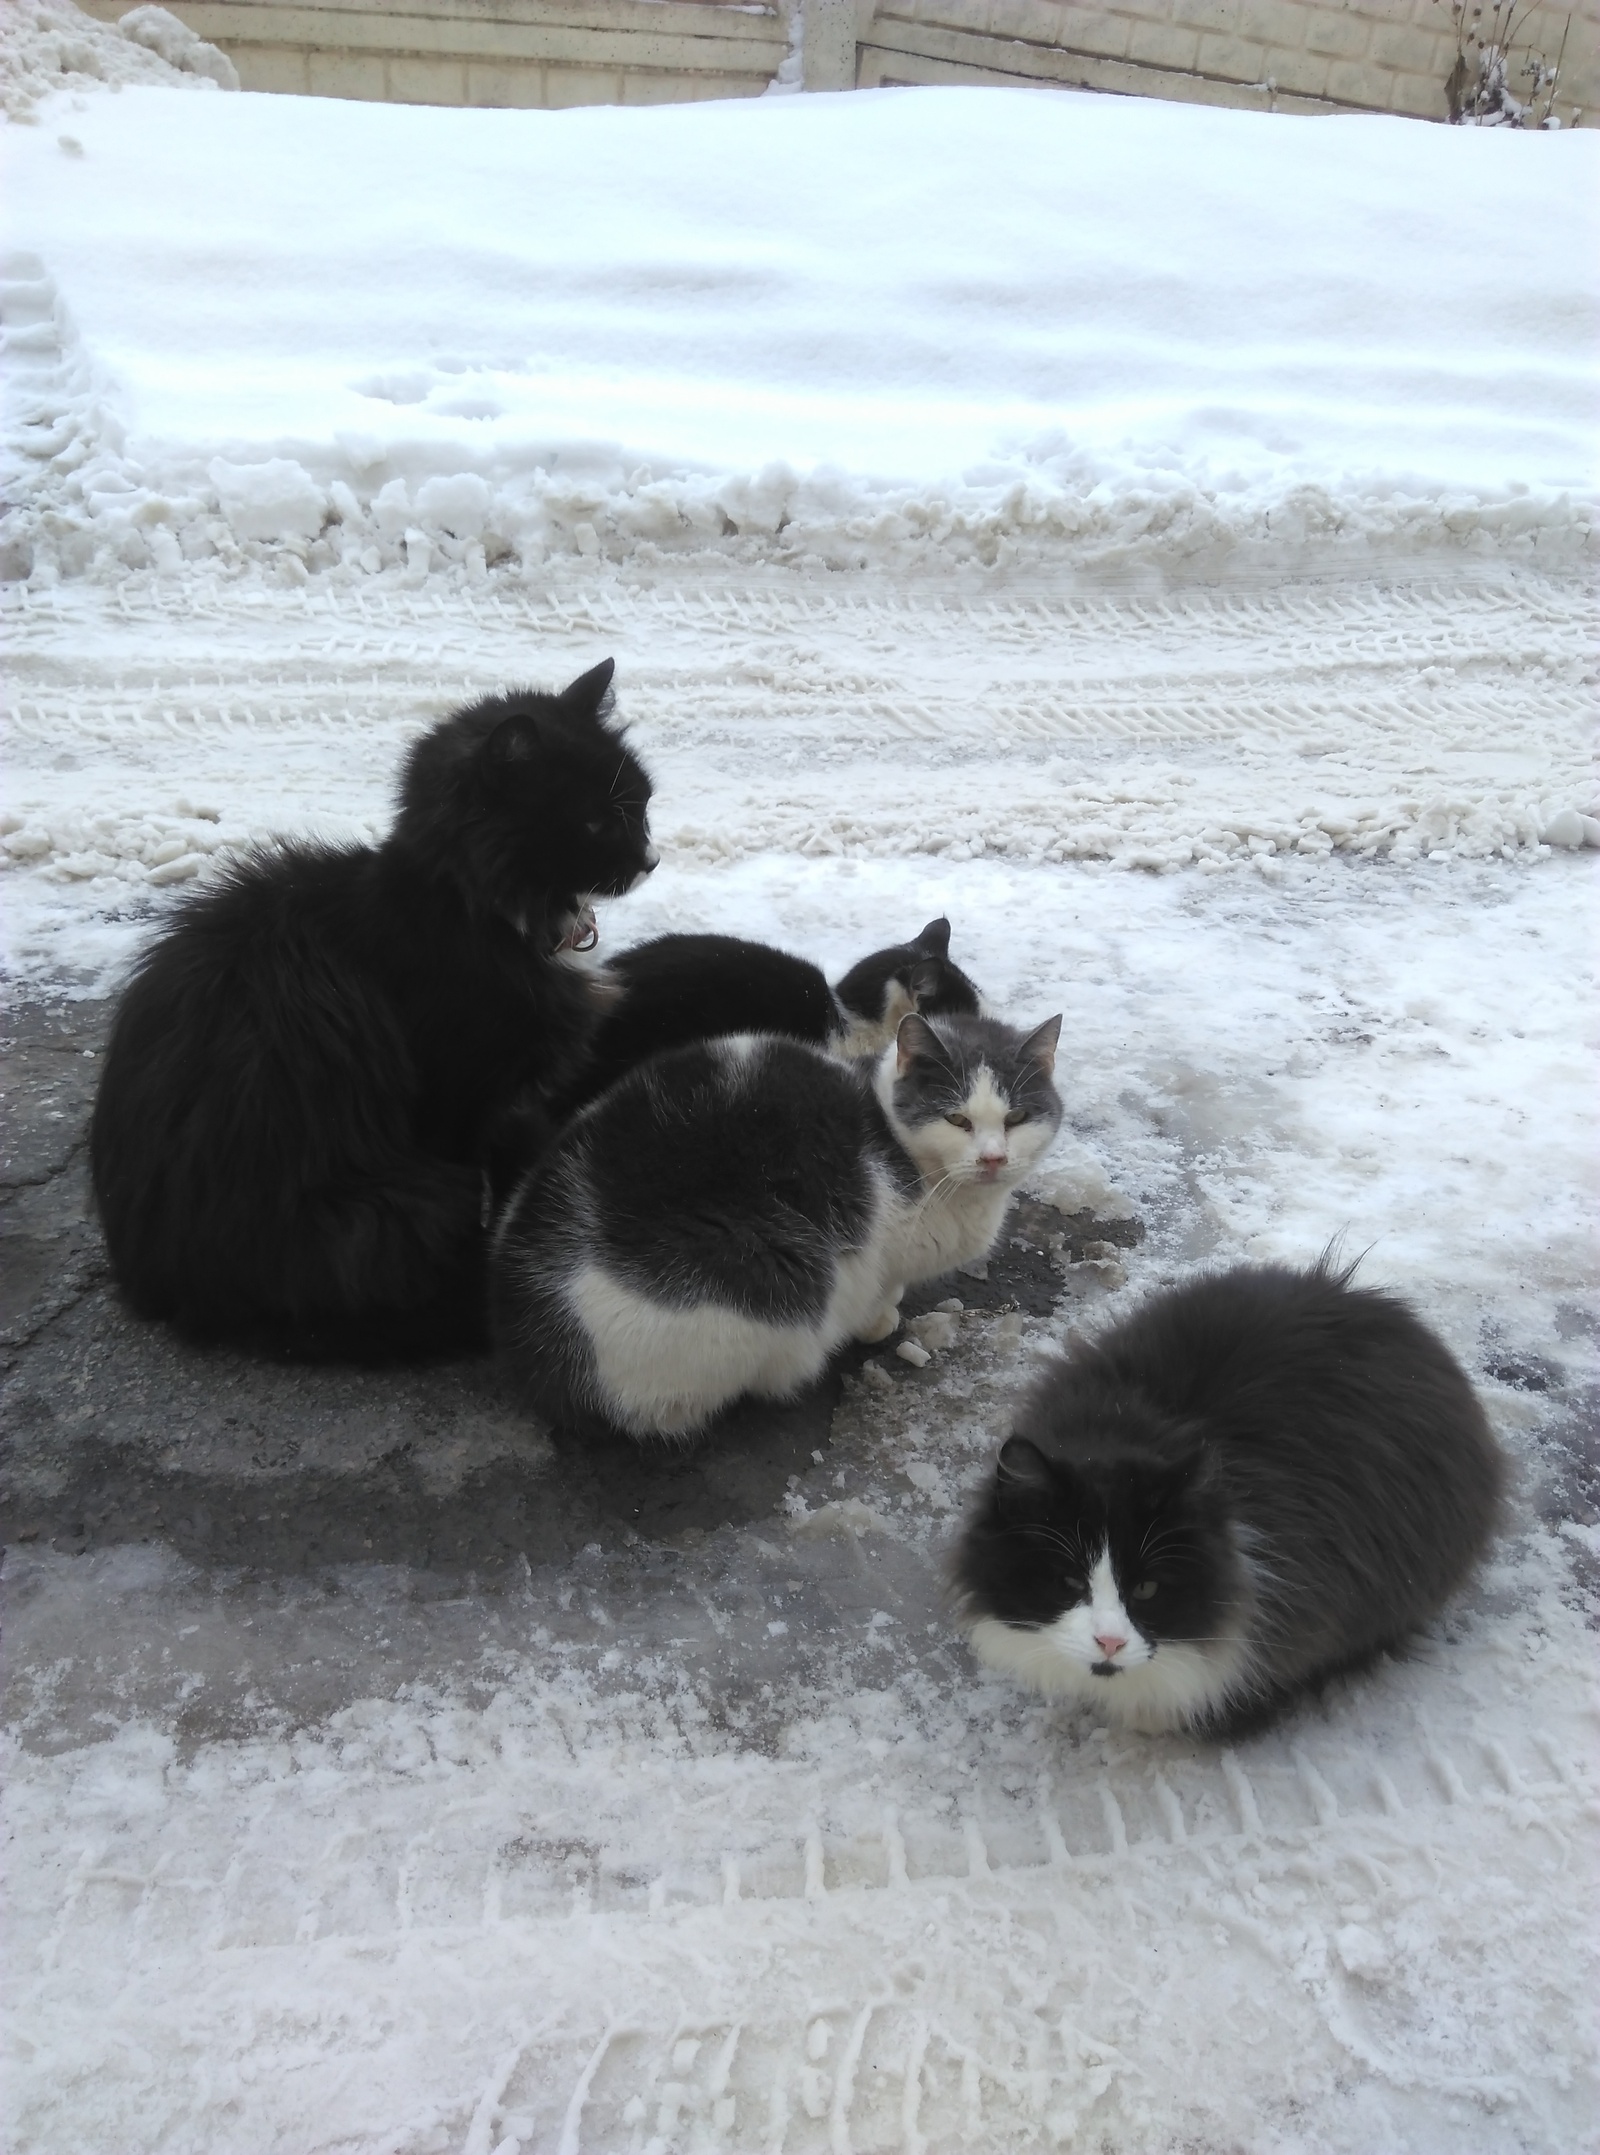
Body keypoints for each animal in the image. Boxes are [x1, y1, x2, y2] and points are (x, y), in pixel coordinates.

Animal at [89, 659, 659, 1361]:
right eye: (596, 823)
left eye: (643, 805)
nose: (651, 859)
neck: (470, 906)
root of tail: (161, 1286)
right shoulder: (458, 1095)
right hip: (392, 1210)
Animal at [489, 1012, 1065, 1448]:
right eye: (957, 1120)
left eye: (1016, 1118)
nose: (993, 1159)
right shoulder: (880, 1245)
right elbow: (880, 1284)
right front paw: (878, 1318)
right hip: (761, 1279)